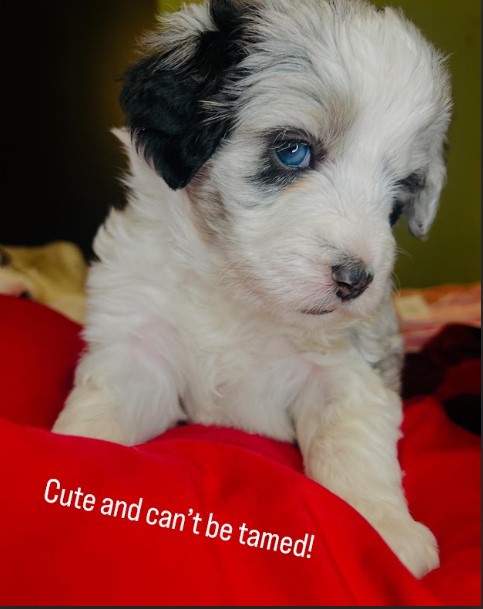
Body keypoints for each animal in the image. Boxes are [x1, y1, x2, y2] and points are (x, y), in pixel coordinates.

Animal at [53, 0, 454, 576]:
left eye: (401, 193)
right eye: (293, 152)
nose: (356, 280)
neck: (236, 290)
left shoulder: (348, 370)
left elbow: (353, 443)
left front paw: (382, 528)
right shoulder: (139, 349)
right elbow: (99, 415)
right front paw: (73, 463)